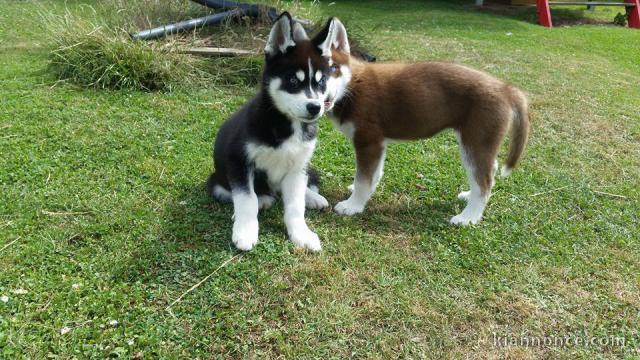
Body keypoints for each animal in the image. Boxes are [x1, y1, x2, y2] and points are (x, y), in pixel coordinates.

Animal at [206, 13, 344, 250]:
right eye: (292, 80)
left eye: (321, 81)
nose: (315, 107)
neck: (286, 124)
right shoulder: (239, 161)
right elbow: (247, 199)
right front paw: (245, 231)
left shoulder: (298, 167)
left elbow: (296, 205)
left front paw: (301, 233)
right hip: (217, 181)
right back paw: (263, 200)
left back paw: (313, 197)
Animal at [320, 19, 528, 225]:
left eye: (332, 69)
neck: (351, 86)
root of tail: (505, 89)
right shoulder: (377, 145)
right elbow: (374, 175)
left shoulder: (368, 141)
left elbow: (363, 179)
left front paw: (353, 205)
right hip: (479, 143)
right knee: (489, 171)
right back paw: (469, 196)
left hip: (476, 140)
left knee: (483, 181)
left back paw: (468, 217)